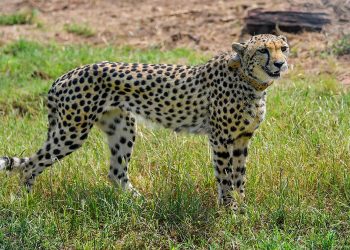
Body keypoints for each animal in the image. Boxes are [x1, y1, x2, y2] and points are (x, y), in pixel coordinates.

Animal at [0, 33, 288, 209]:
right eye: (263, 50)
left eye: (283, 49)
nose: (281, 64)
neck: (251, 82)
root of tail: (65, 75)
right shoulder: (220, 138)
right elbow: (225, 176)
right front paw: (230, 209)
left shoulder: (242, 139)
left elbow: (240, 176)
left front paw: (243, 207)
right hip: (72, 131)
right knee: (31, 165)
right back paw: (24, 201)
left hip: (122, 128)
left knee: (116, 173)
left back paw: (140, 203)